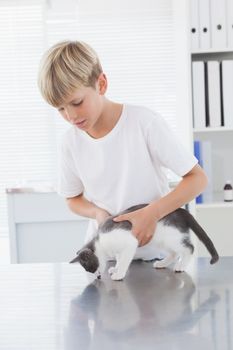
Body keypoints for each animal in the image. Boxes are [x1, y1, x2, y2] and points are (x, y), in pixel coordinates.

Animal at [70, 204, 219, 280]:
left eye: (90, 267)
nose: (98, 276)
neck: (100, 242)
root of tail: (181, 210)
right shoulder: (118, 250)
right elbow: (119, 259)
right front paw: (115, 268)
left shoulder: (129, 243)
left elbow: (124, 261)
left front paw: (119, 273)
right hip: (161, 240)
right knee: (174, 253)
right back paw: (162, 263)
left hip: (172, 237)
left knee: (189, 248)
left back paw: (181, 266)